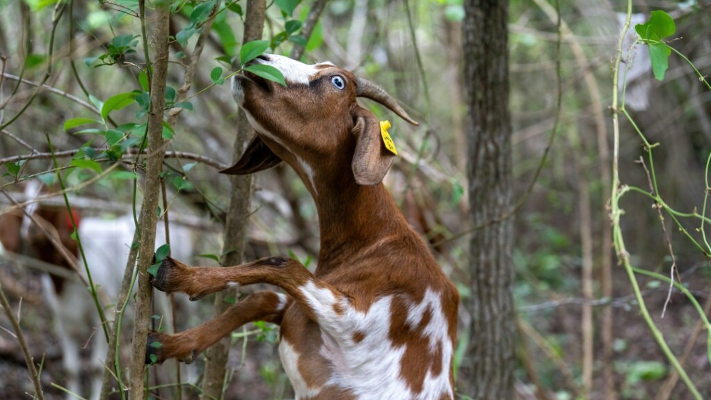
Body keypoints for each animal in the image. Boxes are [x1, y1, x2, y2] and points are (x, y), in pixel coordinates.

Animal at [148, 54, 462, 400]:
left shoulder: (355, 320)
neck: (376, 240)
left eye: (338, 82)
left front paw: (177, 275)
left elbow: (284, 264)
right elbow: (263, 298)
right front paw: (170, 344)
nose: (259, 58)